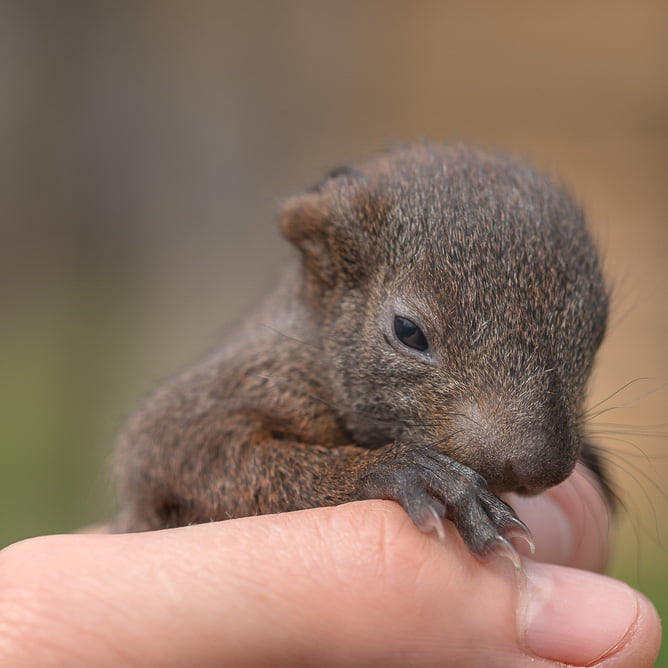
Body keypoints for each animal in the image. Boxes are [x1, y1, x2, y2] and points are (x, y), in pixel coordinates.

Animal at [112, 145, 608, 560]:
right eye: (408, 331)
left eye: (598, 333)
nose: (537, 467)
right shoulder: (219, 397)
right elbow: (189, 452)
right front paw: (402, 471)